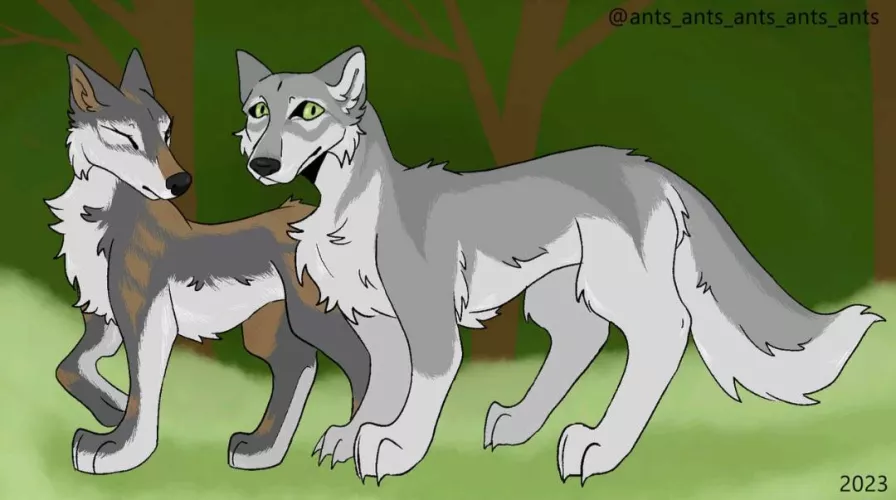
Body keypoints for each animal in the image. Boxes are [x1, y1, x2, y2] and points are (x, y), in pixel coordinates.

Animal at [46, 49, 371, 475]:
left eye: (166, 134)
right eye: (126, 137)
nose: (180, 182)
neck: (104, 215)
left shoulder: (147, 317)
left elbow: (142, 391)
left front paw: (120, 450)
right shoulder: (105, 317)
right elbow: (68, 368)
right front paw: (110, 407)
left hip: (317, 321)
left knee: (371, 368)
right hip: (268, 333)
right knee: (299, 369)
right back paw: (262, 450)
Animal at [234, 46, 884, 484]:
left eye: (308, 111)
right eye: (258, 110)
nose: (263, 164)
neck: (345, 208)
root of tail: (652, 168)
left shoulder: (427, 318)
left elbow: (422, 385)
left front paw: (394, 448)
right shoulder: (375, 320)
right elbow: (381, 383)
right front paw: (353, 435)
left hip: (617, 287)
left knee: (663, 336)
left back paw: (600, 446)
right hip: (557, 294)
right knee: (581, 341)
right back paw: (521, 424)